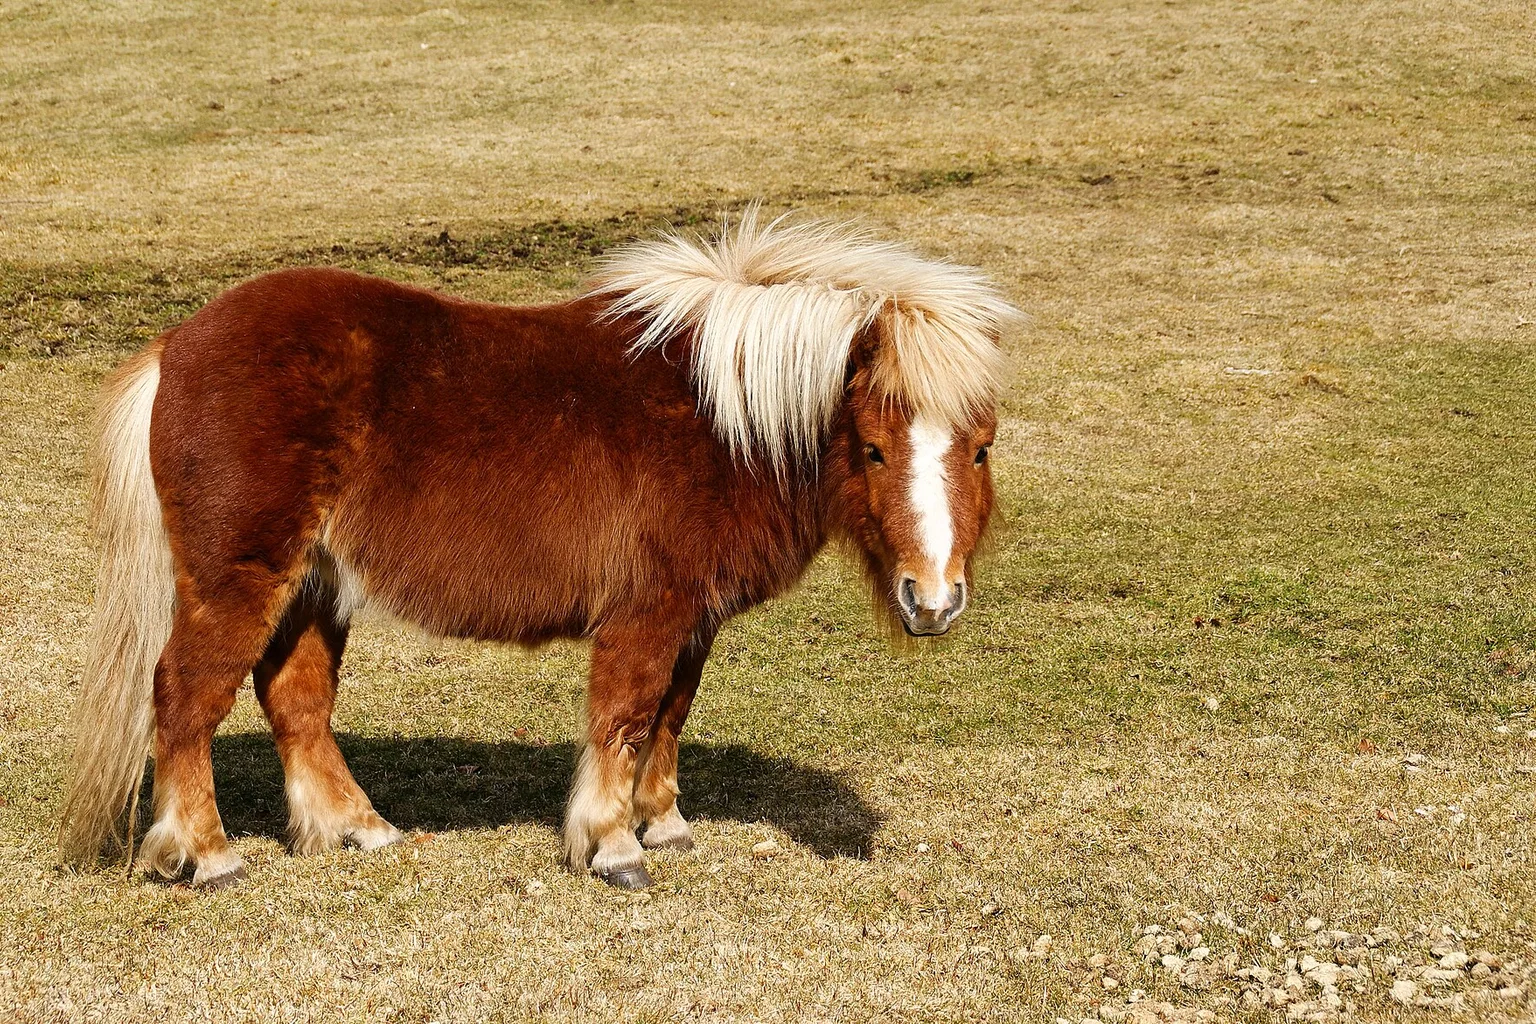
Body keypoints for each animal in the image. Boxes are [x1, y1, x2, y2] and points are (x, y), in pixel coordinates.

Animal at [57, 210, 1020, 889]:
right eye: (873, 450)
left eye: (980, 448)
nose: (933, 600)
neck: (722, 417)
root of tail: (177, 344)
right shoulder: (647, 612)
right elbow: (624, 717)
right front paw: (614, 846)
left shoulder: (694, 617)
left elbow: (670, 714)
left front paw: (664, 824)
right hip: (240, 576)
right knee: (186, 697)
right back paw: (208, 855)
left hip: (314, 584)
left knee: (294, 701)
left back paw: (358, 829)